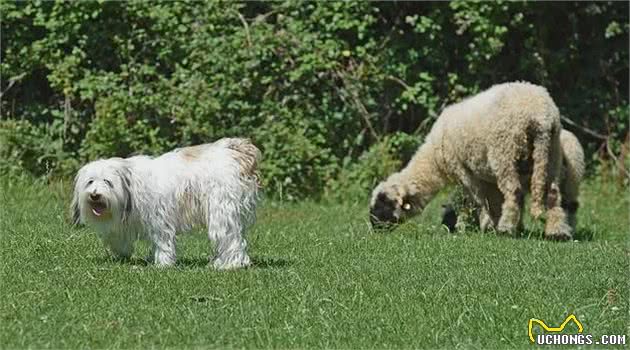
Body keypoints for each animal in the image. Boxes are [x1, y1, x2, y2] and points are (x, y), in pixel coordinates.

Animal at [72, 138, 262, 270]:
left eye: (108, 182)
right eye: (90, 181)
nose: (95, 195)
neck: (130, 186)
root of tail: (237, 151)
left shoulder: (159, 218)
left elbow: (162, 241)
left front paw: (162, 264)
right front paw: (122, 254)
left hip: (221, 211)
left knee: (232, 240)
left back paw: (228, 265)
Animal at [370, 81, 572, 239]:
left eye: (383, 204)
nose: (374, 228)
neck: (434, 160)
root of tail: (541, 116)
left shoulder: (465, 173)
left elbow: (477, 201)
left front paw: (479, 226)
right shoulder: (486, 178)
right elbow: (492, 201)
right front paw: (496, 225)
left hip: (504, 152)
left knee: (513, 190)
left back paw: (506, 228)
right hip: (551, 154)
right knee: (553, 193)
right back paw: (557, 233)